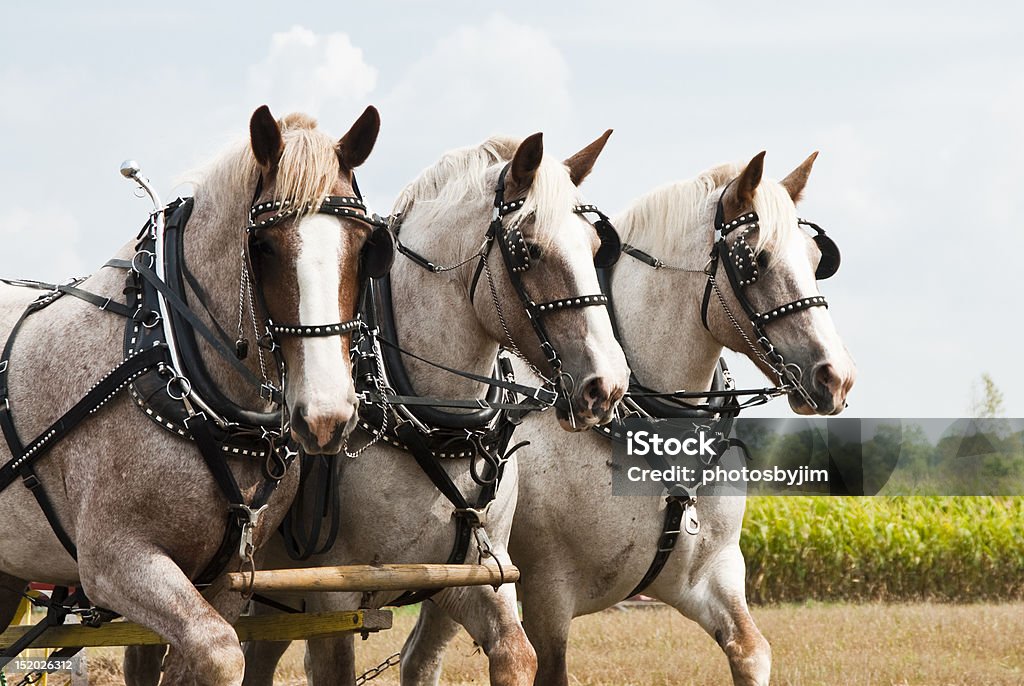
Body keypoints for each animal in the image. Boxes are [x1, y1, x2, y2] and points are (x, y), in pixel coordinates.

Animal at [0, 104, 387, 683]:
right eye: (263, 246)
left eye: (364, 246)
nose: (325, 417)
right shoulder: (114, 562)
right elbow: (222, 651)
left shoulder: (227, 579)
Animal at [399, 151, 856, 686]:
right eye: (757, 261)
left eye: (815, 260)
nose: (835, 376)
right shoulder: (547, 593)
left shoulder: (710, 576)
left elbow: (751, 650)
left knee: (419, 658)